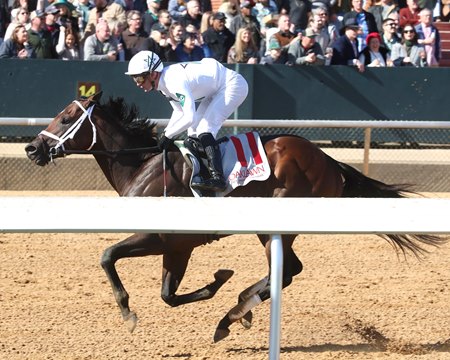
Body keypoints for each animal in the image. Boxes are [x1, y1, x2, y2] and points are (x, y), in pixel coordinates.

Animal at [26, 91, 444, 342]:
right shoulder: (177, 248)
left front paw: (128, 312)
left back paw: (234, 312)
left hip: (275, 221)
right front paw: (218, 280)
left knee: (286, 272)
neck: (142, 164)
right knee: (289, 271)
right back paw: (237, 310)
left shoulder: (156, 237)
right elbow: (168, 295)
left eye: (66, 117)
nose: (32, 148)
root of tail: (327, 159)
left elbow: (107, 256)